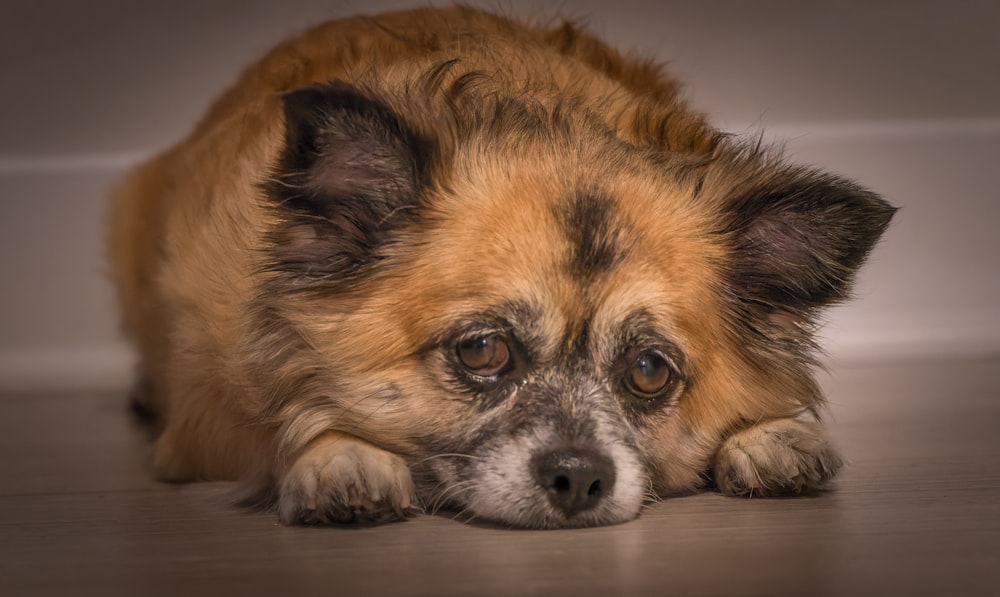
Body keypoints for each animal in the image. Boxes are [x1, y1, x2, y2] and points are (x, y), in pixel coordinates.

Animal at [105, 3, 896, 528]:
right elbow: (280, 418)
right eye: (483, 350)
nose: (579, 477)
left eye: (649, 370)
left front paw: (771, 434)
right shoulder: (205, 417)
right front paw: (339, 456)